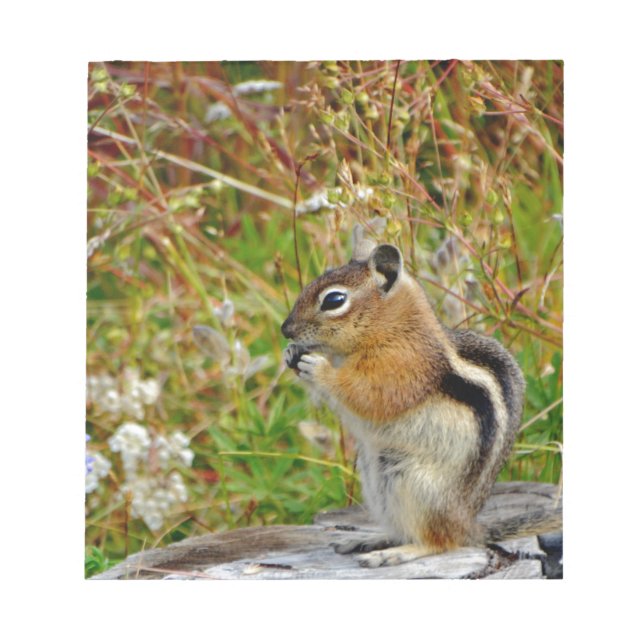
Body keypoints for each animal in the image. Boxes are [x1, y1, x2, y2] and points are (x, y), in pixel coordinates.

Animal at [281, 226, 562, 567]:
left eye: (334, 300)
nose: (285, 330)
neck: (393, 327)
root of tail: (466, 525)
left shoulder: (402, 366)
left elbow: (366, 394)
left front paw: (319, 368)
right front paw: (291, 353)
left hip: (414, 483)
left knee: (439, 542)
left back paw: (396, 553)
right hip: (377, 480)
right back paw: (370, 540)